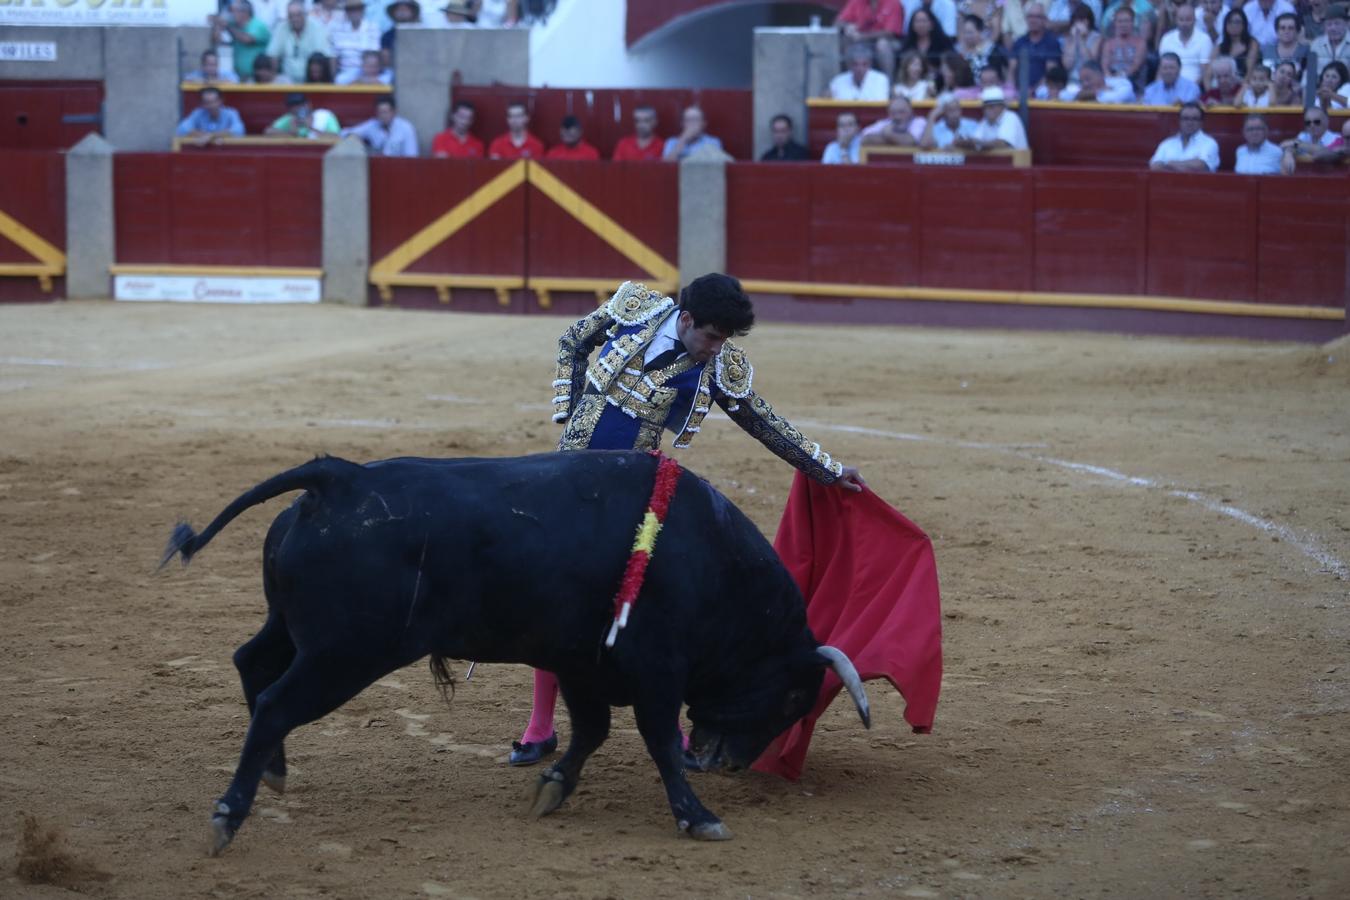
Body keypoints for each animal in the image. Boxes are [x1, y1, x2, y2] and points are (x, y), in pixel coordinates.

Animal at [163, 453, 869, 858]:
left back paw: (275, 773)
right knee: (276, 703)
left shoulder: (584, 661)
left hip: (295, 630)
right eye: (793, 696)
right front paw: (698, 817)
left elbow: (592, 731)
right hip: (344, 654)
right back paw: (229, 814)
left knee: (252, 663)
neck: (708, 557)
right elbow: (659, 740)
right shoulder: (656, 669)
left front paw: (552, 788)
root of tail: (339, 478)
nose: (727, 763)